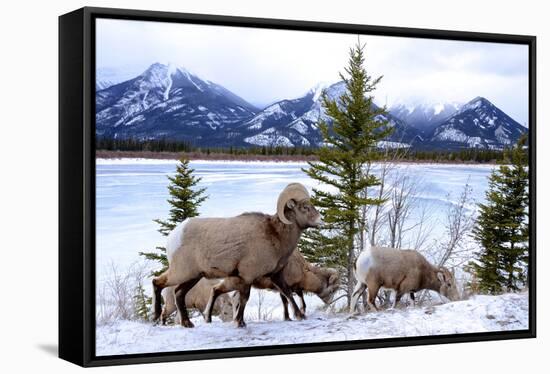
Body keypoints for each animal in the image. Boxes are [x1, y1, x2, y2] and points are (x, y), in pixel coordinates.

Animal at [152, 183, 324, 328]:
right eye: (305, 207)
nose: (321, 220)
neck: (275, 235)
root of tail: (174, 236)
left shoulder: (276, 275)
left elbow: (287, 293)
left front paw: (300, 316)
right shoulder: (247, 276)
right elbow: (244, 299)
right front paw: (239, 322)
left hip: (193, 276)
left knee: (179, 293)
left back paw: (187, 324)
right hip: (181, 272)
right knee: (157, 282)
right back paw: (155, 318)